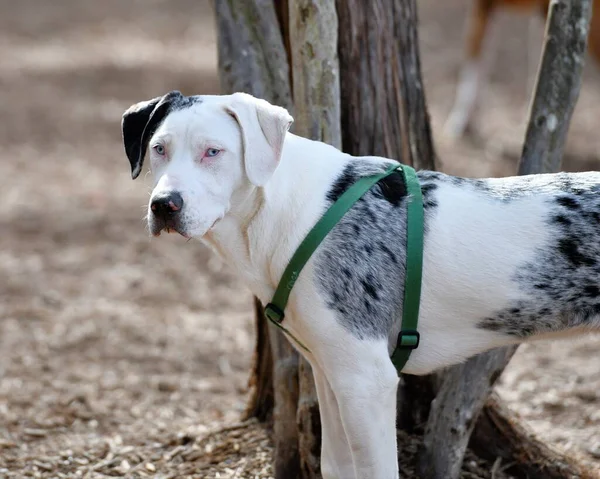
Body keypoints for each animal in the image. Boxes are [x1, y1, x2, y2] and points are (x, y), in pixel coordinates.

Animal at [120, 91, 600, 479]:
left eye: (213, 151)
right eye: (159, 149)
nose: (164, 206)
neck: (293, 210)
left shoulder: (367, 380)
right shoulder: (331, 372)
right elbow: (336, 466)